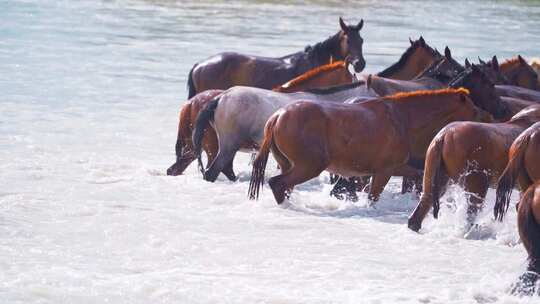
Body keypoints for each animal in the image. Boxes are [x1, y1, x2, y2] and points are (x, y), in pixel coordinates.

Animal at [247, 88, 492, 204]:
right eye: (473, 108)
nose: (489, 118)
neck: (403, 118)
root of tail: (277, 116)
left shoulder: (390, 168)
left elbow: (416, 173)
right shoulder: (384, 171)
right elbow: (373, 197)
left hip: (288, 163)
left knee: (284, 185)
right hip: (309, 166)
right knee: (278, 184)